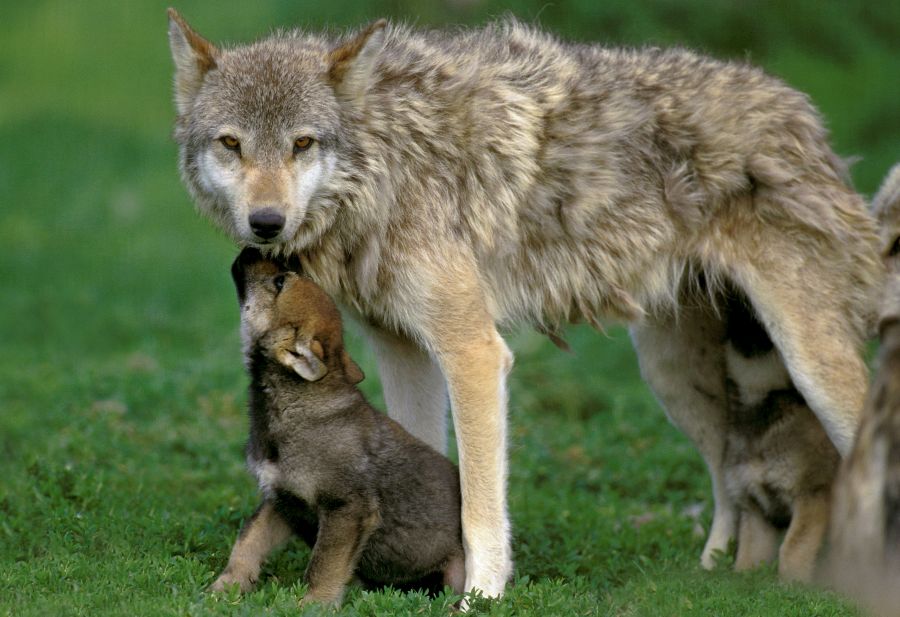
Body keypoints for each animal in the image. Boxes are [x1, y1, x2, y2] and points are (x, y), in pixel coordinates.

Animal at [213, 248, 464, 604]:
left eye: (280, 282)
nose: (252, 249)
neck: (295, 405)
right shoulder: (282, 500)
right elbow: (247, 542)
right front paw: (225, 588)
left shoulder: (346, 508)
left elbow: (323, 564)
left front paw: (313, 604)